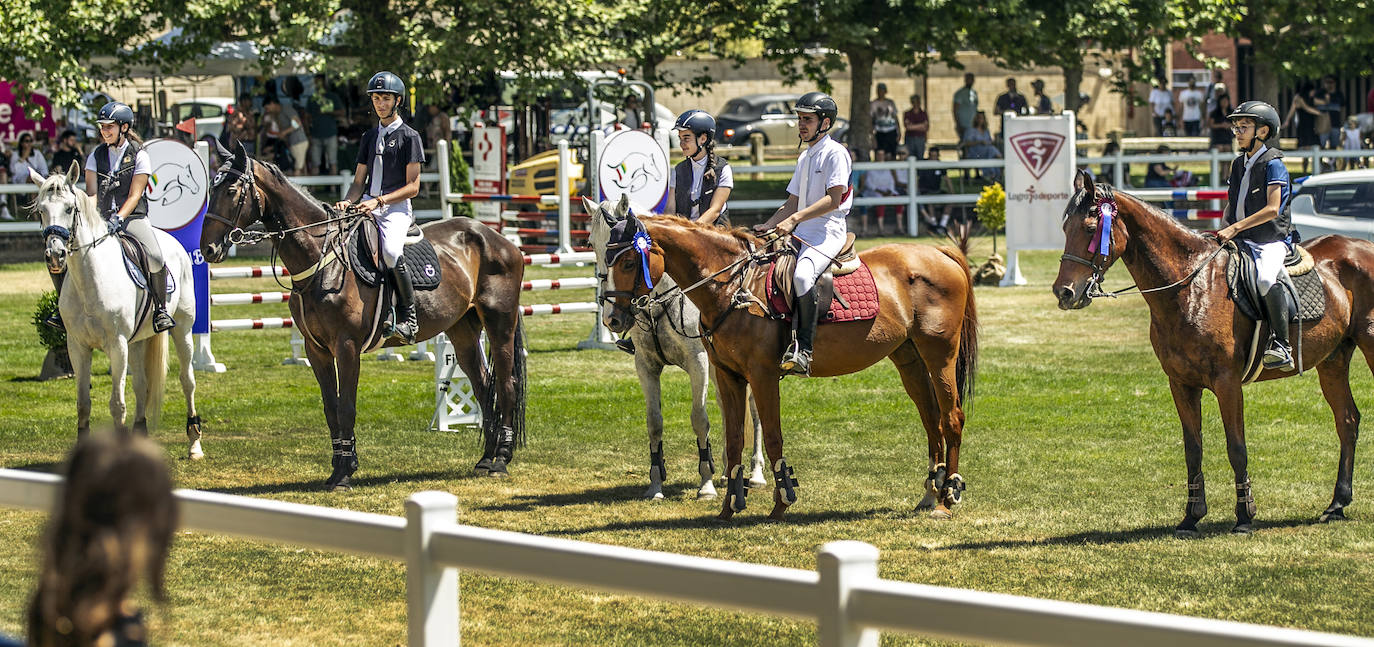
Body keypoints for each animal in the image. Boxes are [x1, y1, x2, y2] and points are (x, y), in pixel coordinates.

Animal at [31, 162, 200, 458]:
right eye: (41, 209)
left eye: (69, 209)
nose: (55, 255)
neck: (90, 279)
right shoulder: (77, 346)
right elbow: (83, 403)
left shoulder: (117, 344)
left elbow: (117, 404)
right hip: (137, 341)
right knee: (142, 385)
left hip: (182, 329)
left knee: (187, 380)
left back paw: (194, 444)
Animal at [201, 140, 524, 486]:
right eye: (211, 188)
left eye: (232, 189)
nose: (207, 249)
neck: (322, 258)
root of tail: (497, 238)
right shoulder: (316, 349)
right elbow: (331, 408)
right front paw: (338, 467)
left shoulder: (346, 346)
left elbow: (346, 406)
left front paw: (345, 472)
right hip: (462, 330)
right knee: (482, 385)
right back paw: (486, 458)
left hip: (500, 324)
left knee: (506, 384)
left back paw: (501, 459)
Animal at [582, 195, 769, 500]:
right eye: (590, 244)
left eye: (627, 259)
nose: (611, 319)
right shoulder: (646, 365)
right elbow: (654, 421)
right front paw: (655, 484)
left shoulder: (698, 362)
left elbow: (699, 418)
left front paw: (705, 485)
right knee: (728, 407)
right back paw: (728, 467)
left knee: (755, 411)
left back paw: (755, 474)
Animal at [596, 210, 983, 524]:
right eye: (602, 257)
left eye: (628, 263)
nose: (612, 319)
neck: (733, 287)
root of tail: (939, 252)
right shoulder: (728, 376)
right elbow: (733, 439)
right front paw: (729, 506)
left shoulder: (762, 375)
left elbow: (772, 436)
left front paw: (782, 501)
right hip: (909, 358)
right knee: (931, 420)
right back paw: (930, 493)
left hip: (940, 356)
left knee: (951, 418)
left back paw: (946, 499)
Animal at [1049, 169, 1374, 535]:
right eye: (1066, 229)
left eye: (1092, 229)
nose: (1064, 292)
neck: (1191, 288)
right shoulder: (1181, 384)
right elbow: (1193, 449)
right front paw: (1191, 517)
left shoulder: (1227, 383)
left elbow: (1236, 447)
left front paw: (1245, 516)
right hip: (1333, 360)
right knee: (1347, 420)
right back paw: (1337, 504)